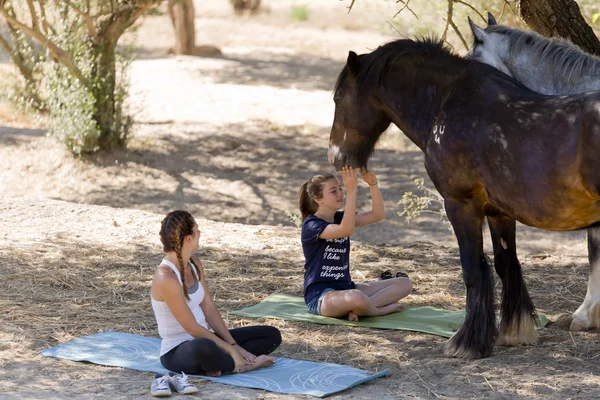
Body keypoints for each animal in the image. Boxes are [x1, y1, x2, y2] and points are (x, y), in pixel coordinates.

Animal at [326, 37, 600, 358]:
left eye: (339, 98)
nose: (335, 157)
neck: (448, 102)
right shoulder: (499, 212)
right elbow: (506, 264)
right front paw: (512, 332)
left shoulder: (460, 206)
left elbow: (473, 269)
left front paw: (466, 342)